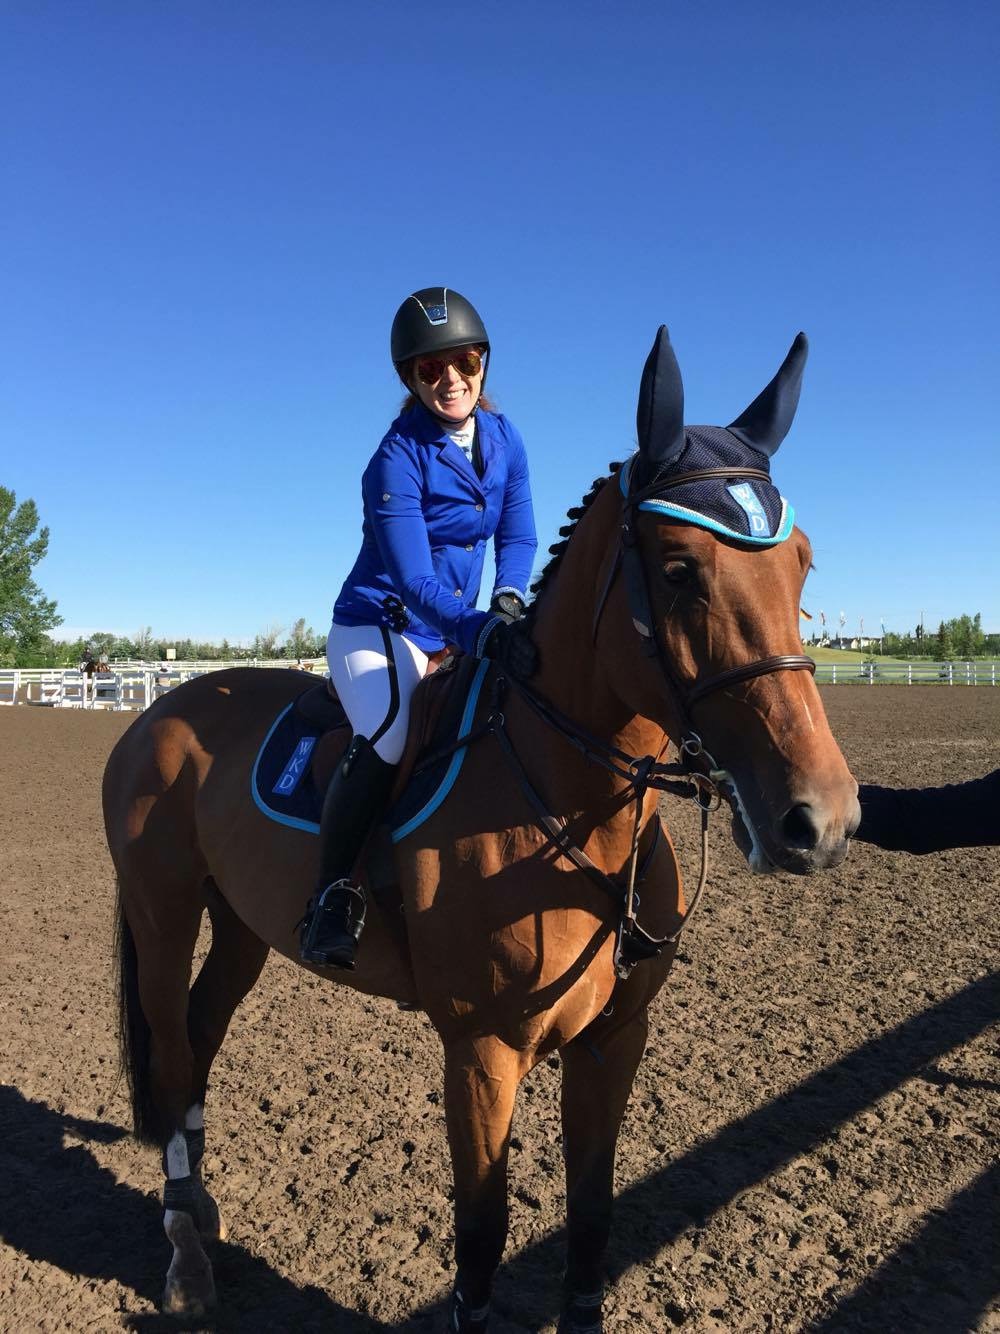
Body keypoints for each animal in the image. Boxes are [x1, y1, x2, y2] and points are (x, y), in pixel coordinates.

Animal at [104, 325, 859, 1332]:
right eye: (678, 571)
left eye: (802, 562)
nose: (820, 819)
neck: (577, 812)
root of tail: (157, 709)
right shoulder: (482, 1052)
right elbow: (482, 1238)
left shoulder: (614, 1042)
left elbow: (592, 1216)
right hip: (163, 913)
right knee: (173, 1048)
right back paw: (185, 1255)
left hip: (240, 929)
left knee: (198, 1036)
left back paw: (200, 1215)